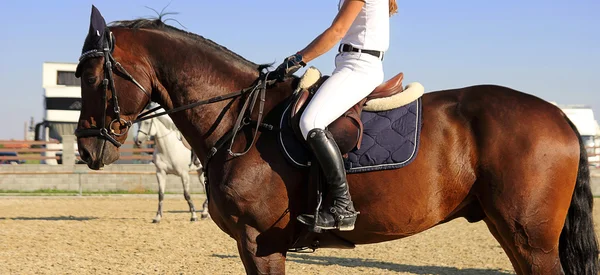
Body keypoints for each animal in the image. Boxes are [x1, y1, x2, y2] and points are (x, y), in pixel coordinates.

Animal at [74, 6, 596, 275]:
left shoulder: (259, 242)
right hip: (512, 234)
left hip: (531, 240)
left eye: (94, 77)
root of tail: (559, 114)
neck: (243, 121)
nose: (86, 149)